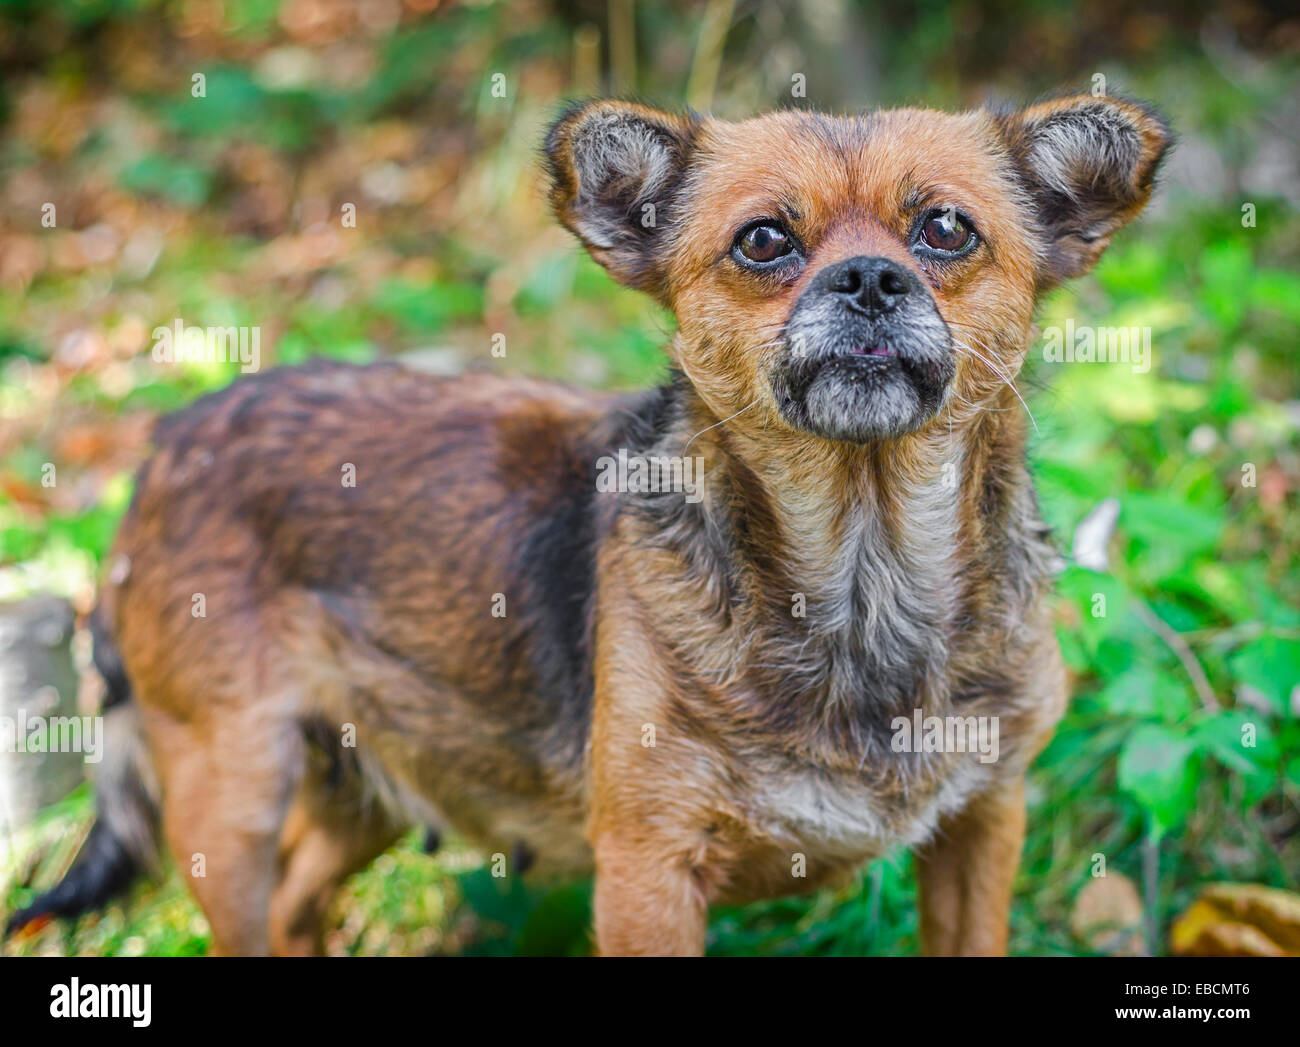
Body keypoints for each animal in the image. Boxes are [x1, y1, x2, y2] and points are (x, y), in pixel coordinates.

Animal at [7, 93, 1170, 952]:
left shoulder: (983, 825)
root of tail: (170, 438)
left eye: (945, 230)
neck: (864, 570)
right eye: (763, 241)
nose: (871, 279)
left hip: (370, 782)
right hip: (232, 799)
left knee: (303, 905)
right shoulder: (648, 874)